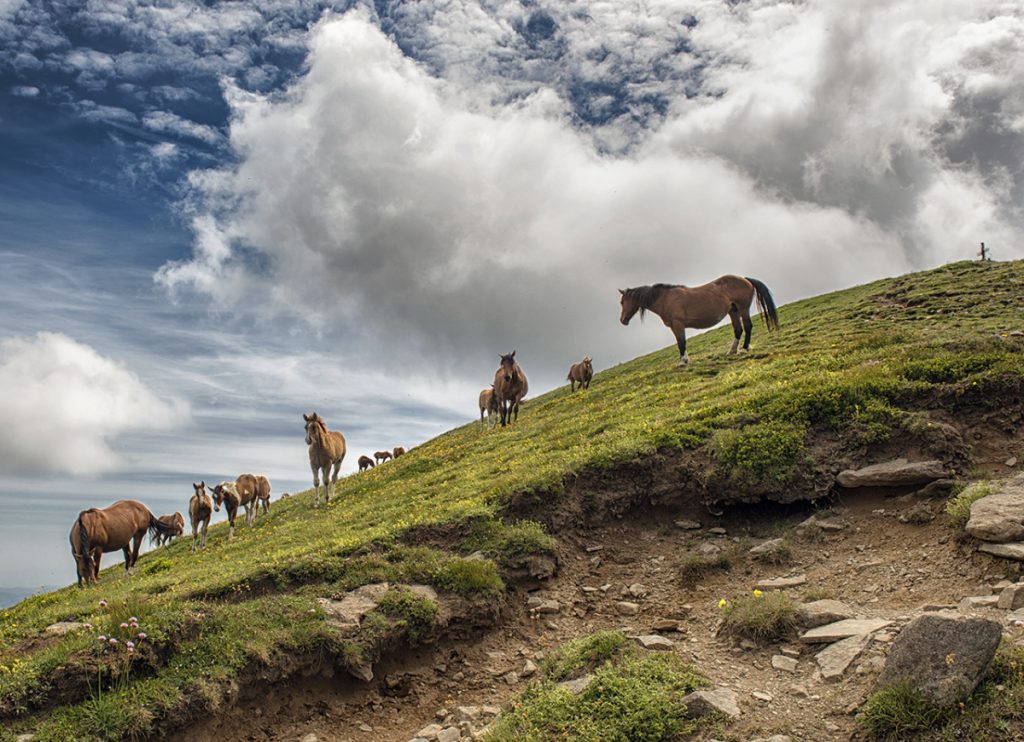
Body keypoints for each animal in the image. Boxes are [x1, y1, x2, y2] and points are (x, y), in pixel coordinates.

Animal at [619, 276, 779, 366]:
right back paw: (731, 351)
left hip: (743, 309)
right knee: (738, 329)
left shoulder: (678, 324)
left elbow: (681, 342)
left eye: (621, 302)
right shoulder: (674, 326)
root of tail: (745, 279)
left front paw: (683, 361)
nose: (622, 320)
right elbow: (680, 342)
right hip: (733, 311)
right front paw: (685, 359)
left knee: (747, 326)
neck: (665, 299)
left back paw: (744, 349)